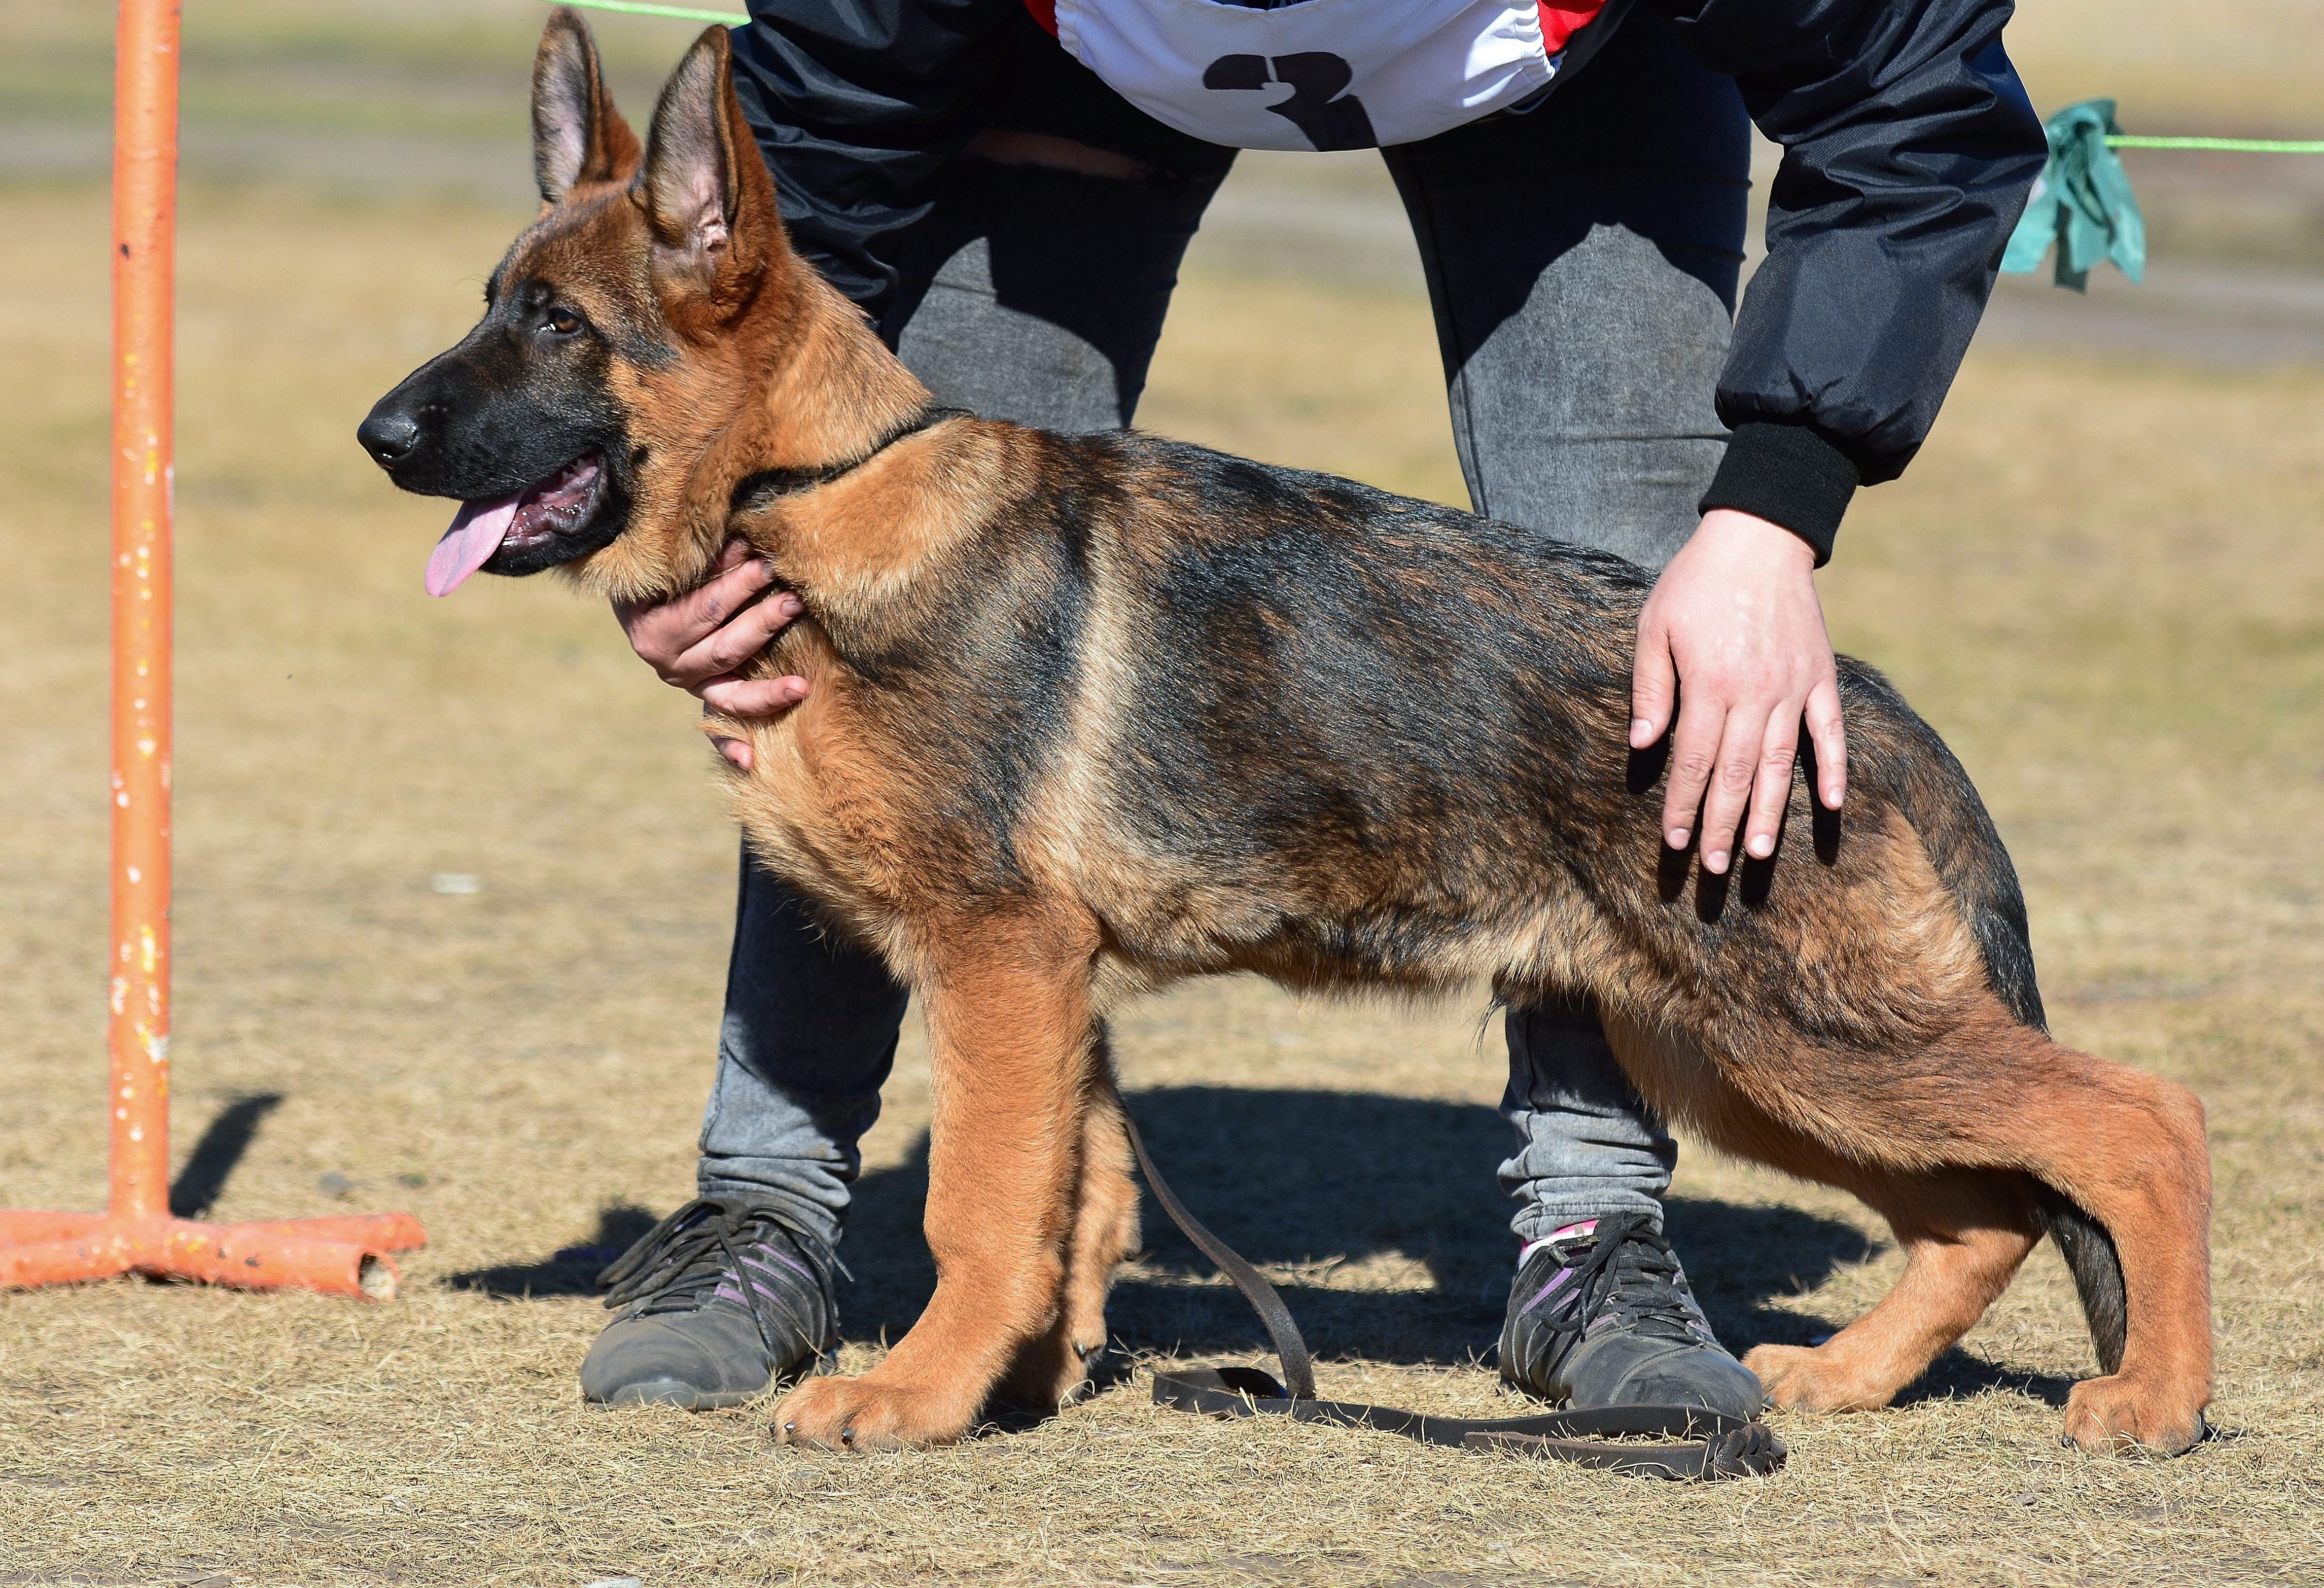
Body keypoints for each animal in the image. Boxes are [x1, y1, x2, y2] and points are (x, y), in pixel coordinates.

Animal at [358, 9, 2212, 1451]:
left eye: (555, 326)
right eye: (489, 301)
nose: (377, 435)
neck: (821, 493)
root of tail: (1867, 707)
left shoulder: (994, 958)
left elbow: (978, 1207)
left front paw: (914, 1398)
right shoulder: (1047, 990)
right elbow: (1070, 1199)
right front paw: (1023, 1385)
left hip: (1812, 1037)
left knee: (2136, 1125)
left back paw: (2153, 1399)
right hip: (1737, 1054)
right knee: (1983, 1213)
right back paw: (1845, 1378)